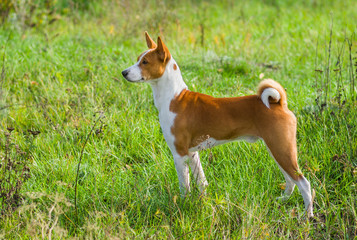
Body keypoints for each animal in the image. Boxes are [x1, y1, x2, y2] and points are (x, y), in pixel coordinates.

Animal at [121, 31, 312, 218]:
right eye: (138, 59)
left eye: (145, 62)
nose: (123, 72)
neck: (174, 98)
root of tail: (277, 103)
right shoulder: (192, 153)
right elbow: (201, 183)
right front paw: (203, 205)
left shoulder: (179, 154)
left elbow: (185, 187)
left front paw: (182, 206)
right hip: (278, 149)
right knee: (290, 180)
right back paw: (284, 199)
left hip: (281, 149)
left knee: (304, 183)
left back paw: (307, 215)